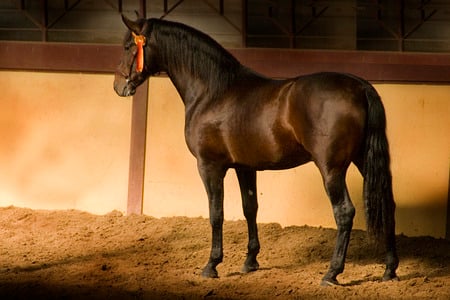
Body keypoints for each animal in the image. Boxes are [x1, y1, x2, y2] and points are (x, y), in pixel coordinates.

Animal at [114, 14, 400, 286]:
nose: (118, 86)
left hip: (331, 169)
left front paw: (212, 265)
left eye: (128, 46)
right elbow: (250, 207)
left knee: (344, 213)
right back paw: (389, 269)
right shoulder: (245, 167)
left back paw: (332, 273)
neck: (213, 92)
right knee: (386, 204)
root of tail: (359, 86)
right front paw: (250, 261)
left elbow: (216, 213)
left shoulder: (209, 166)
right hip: (363, 160)